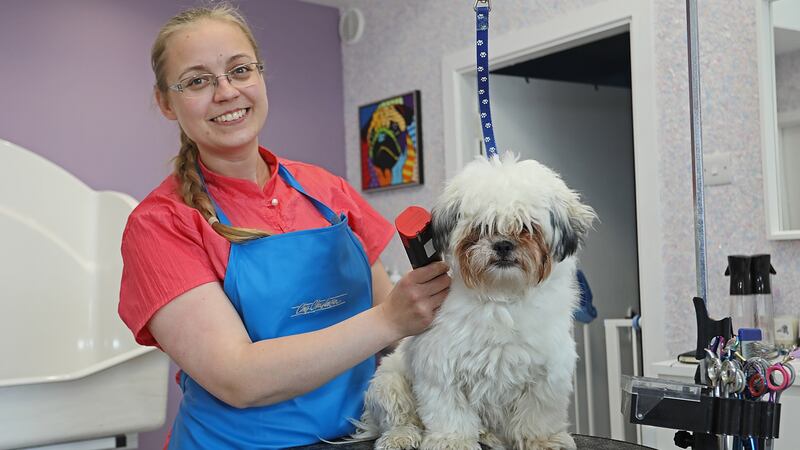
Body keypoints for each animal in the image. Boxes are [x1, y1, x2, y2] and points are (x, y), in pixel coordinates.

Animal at [354, 154, 596, 450]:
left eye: (527, 227)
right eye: (482, 228)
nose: (503, 244)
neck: (502, 297)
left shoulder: (548, 373)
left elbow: (538, 413)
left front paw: (543, 440)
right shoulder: (440, 366)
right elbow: (449, 412)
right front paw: (451, 441)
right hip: (388, 383)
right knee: (400, 417)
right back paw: (401, 436)